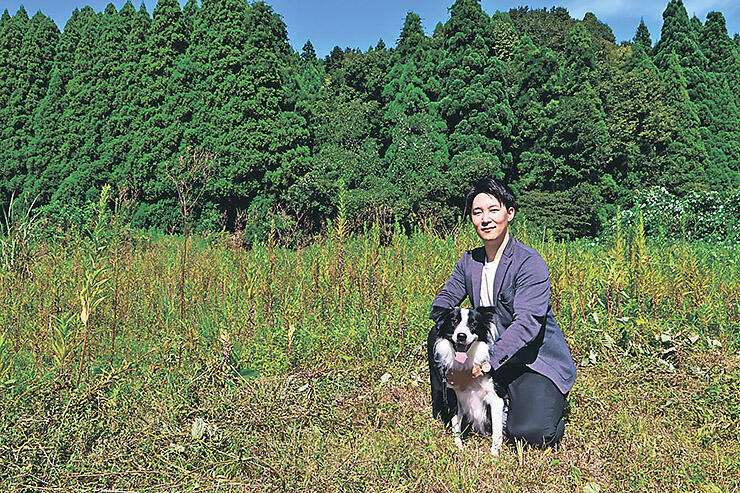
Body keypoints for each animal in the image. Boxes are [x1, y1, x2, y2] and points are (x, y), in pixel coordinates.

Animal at [430, 306, 506, 456]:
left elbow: (496, 429)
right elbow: (456, 426)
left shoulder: (496, 398)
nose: (461, 336)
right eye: (454, 321)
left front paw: (495, 453)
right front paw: (458, 448)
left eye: (473, 324)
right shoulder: (452, 395)